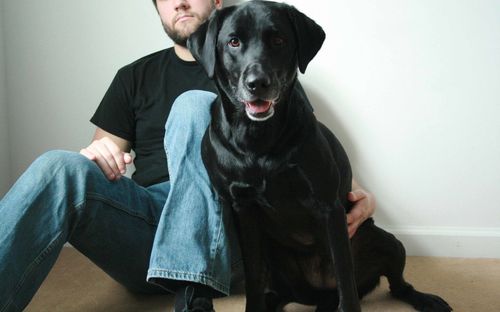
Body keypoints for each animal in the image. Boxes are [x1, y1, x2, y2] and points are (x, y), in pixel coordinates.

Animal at [188, 0, 454, 312]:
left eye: (279, 40)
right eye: (233, 41)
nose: (258, 83)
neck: (258, 139)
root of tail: (315, 294)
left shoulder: (328, 207)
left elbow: (345, 278)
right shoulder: (243, 210)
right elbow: (253, 279)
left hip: (386, 241)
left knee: (396, 284)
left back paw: (426, 300)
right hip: (275, 260)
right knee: (278, 291)